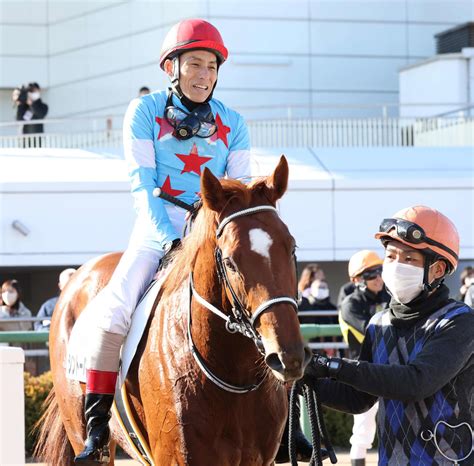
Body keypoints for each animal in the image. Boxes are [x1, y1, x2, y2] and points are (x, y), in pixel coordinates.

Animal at [37, 157, 312, 466]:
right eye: (230, 261)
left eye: (291, 248)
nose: (287, 356)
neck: (231, 375)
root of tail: (77, 277)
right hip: (81, 430)